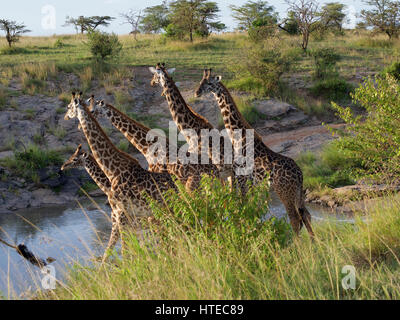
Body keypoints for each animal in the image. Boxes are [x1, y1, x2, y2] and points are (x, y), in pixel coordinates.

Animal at [64, 92, 177, 260]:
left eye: (69, 106)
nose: (66, 117)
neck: (112, 171)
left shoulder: (121, 216)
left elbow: (123, 251)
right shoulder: (123, 219)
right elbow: (116, 251)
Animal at [195, 69, 314, 236]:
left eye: (209, 83)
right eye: (201, 81)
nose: (197, 92)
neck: (237, 136)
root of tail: (300, 174)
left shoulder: (241, 176)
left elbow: (243, 205)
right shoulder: (249, 179)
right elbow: (247, 207)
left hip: (284, 192)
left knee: (295, 219)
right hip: (297, 193)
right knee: (306, 215)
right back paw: (314, 241)